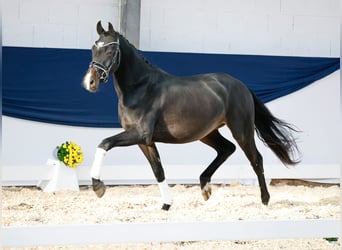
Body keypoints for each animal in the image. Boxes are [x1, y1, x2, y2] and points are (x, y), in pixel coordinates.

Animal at [83, 21, 300, 210]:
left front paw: (98, 186)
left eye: (110, 51)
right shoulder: (144, 141)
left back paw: (264, 201)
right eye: (94, 48)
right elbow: (158, 171)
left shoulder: (140, 134)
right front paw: (166, 205)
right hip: (207, 133)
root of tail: (241, 86)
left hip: (241, 130)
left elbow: (104, 143)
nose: (90, 82)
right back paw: (205, 188)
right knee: (227, 149)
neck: (141, 87)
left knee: (256, 159)